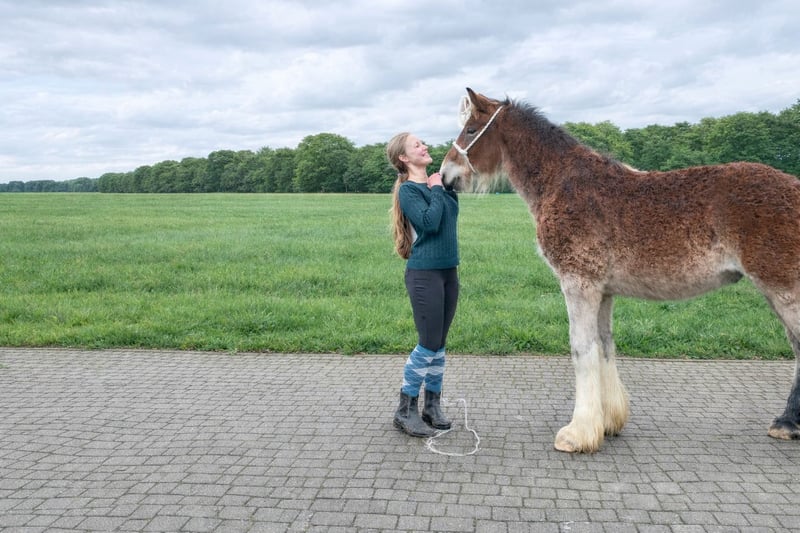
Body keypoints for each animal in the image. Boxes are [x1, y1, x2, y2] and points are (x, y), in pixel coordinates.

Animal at [440, 88, 800, 453]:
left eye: (471, 130)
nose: (444, 175)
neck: (563, 182)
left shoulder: (579, 284)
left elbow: (582, 349)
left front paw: (577, 433)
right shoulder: (603, 291)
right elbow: (605, 346)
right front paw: (608, 421)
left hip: (783, 289)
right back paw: (787, 424)